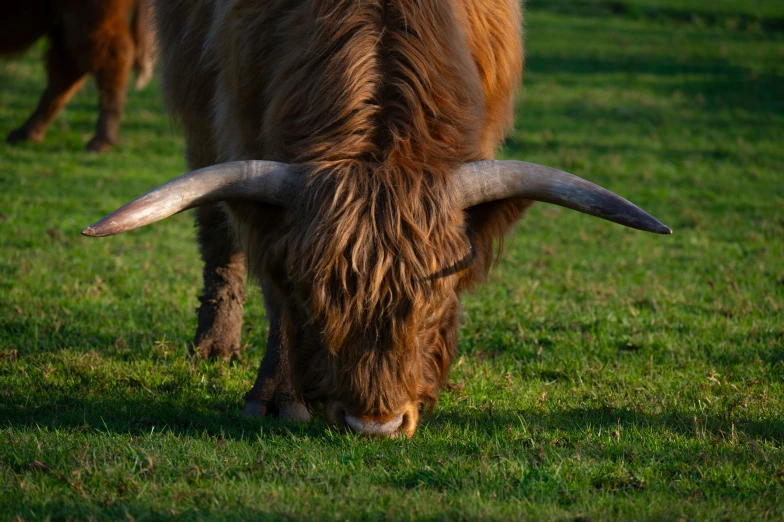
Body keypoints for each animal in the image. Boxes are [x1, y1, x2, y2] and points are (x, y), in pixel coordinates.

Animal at [0, 0, 155, 150]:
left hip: (89, 18)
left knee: (113, 56)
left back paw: (99, 143)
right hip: (65, 25)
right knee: (65, 73)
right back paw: (23, 135)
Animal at [82, 0, 672, 436]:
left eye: (436, 305)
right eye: (314, 302)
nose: (374, 424)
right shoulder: (242, 130)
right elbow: (270, 285)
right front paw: (275, 399)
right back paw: (214, 345)